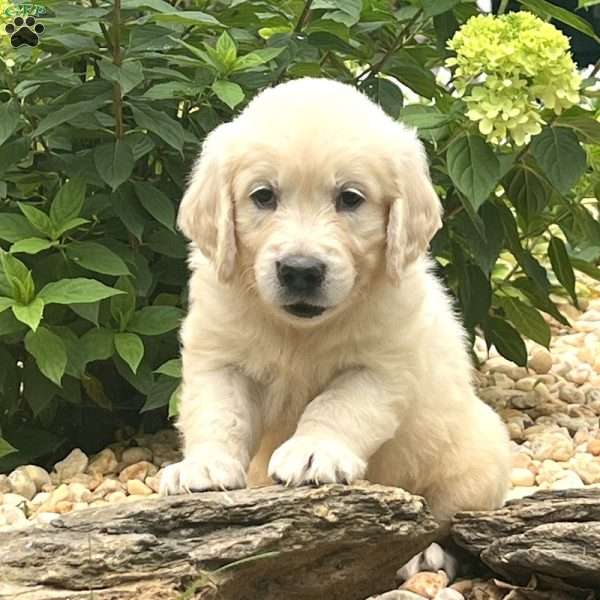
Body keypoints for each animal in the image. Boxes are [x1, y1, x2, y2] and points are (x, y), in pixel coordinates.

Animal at [161, 78, 510, 520]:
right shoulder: (220, 356)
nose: (300, 270)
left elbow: (338, 405)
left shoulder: (381, 365)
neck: (299, 332)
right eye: (263, 196)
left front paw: (313, 452)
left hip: (478, 458)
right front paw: (203, 466)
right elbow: (220, 411)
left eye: (350, 198)